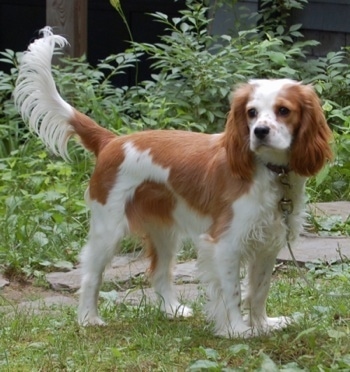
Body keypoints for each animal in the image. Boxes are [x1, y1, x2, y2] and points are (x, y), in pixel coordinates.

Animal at [13, 27, 330, 338]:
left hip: (165, 234)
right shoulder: (225, 243)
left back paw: (172, 310)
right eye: (251, 112)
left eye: (283, 110)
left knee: (160, 272)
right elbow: (232, 293)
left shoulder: (268, 243)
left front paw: (264, 325)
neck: (270, 171)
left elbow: (259, 291)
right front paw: (237, 330)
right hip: (109, 230)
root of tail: (112, 141)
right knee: (92, 275)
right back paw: (89, 319)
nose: (260, 131)